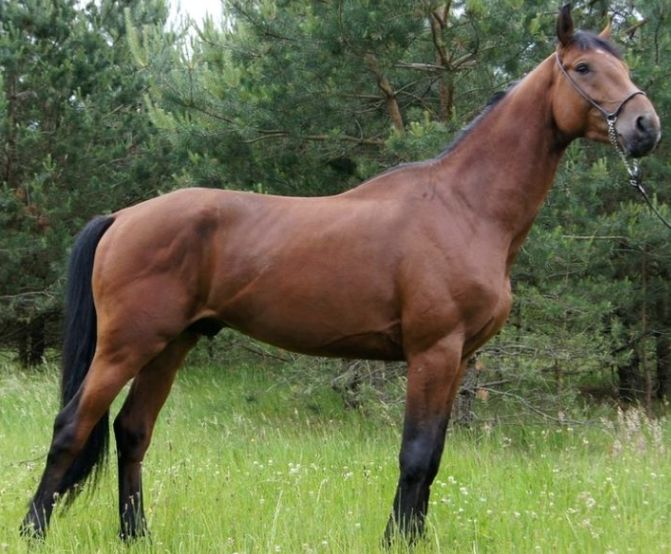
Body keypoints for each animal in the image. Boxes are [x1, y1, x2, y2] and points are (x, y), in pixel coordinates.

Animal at [21, 5, 660, 543]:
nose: (646, 127)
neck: (465, 206)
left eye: (624, 65)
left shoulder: (458, 360)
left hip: (171, 343)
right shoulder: (433, 352)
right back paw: (34, 531)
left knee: (132, 432)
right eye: (584, 67)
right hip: (126, 345)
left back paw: (137, 536)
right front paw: (397, 540)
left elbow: (434, 459)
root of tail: (124, 216)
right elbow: (416, 455)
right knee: (71, 426)